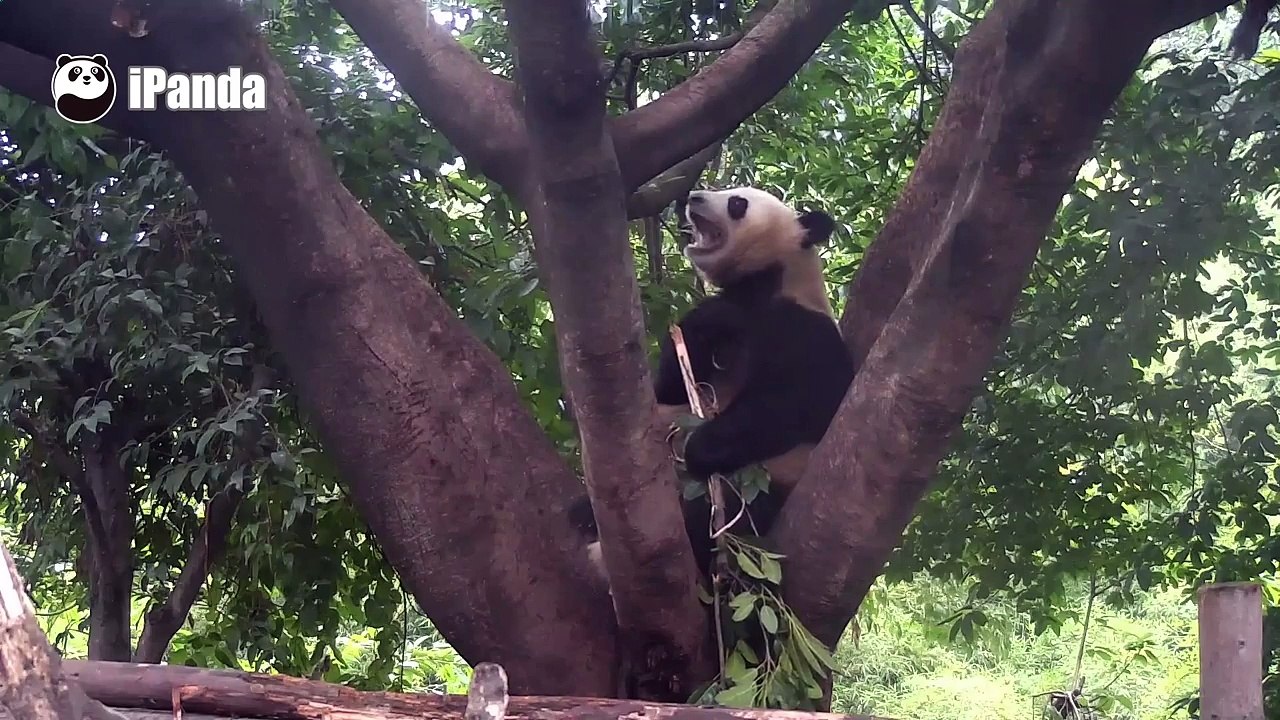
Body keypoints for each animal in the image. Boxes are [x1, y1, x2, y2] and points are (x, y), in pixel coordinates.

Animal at [570, 185, 856, 589]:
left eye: (738, 203)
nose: (692, 197)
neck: (764, 282)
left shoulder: (802, 329)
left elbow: (794, 404)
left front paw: (699, 448)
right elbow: (671, 388)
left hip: (765, 482)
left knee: (713, 513)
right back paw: (583, 514)